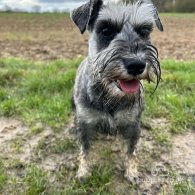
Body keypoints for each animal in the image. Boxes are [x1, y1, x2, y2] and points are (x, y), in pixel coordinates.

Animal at [71, 0, 162, 183]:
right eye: (106, 30)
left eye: (145, 31)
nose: (136, 65)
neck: (110, 97)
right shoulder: (85, 123)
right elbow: (85, 150)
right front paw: (83, 171)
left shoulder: (132, 125)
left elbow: (131, 150)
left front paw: (132, 171)